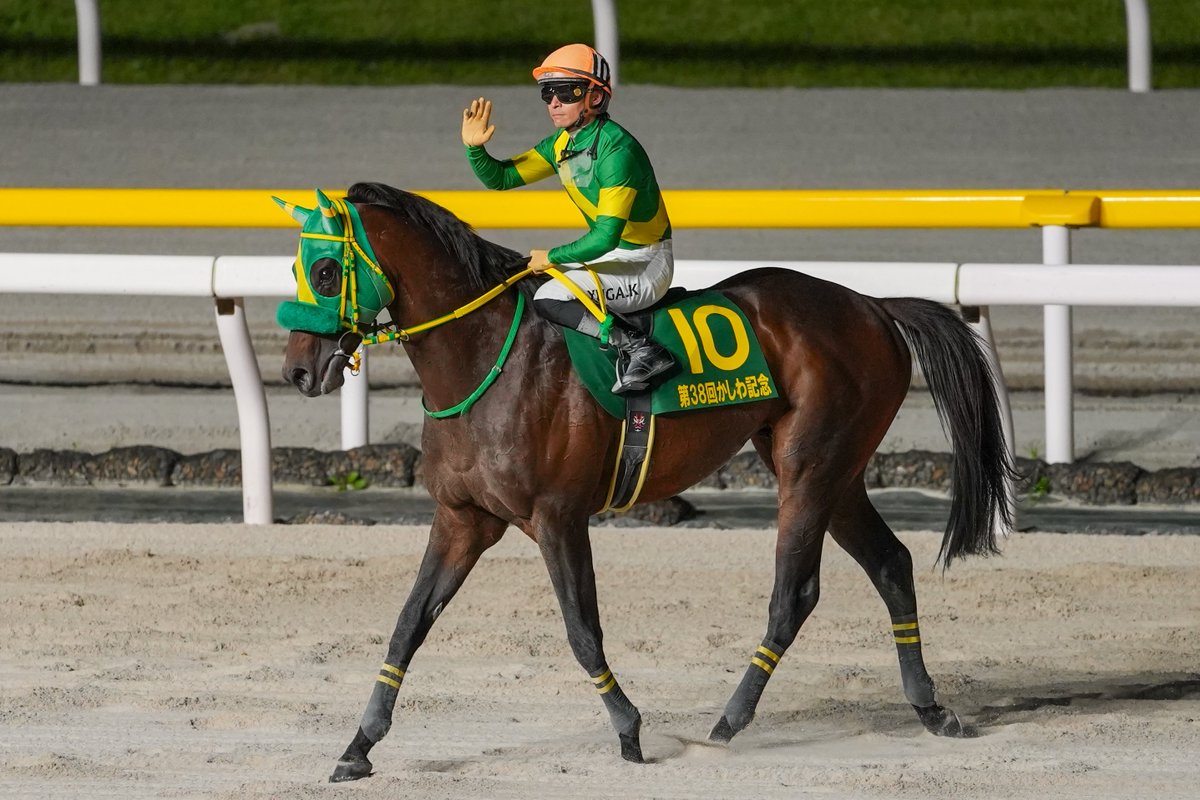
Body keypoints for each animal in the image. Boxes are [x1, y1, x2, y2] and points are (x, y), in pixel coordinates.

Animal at [278, 183, 1013, 782]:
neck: (485, 362)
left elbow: (582, 630)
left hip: (811, 468)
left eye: (324, 270)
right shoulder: (463, 519)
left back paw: (727, 724)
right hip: (836, 471)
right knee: (891, 563)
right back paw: (930, 707)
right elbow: (407, 625)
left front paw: (630, 732)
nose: (296, 371)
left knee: (794, 595)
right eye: (295, 267)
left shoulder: (558, 517)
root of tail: (871, 303)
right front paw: (357, 747)